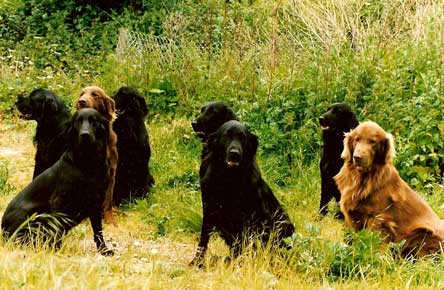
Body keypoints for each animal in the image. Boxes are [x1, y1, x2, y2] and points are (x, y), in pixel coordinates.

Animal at [0, 109, 114, 256]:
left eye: (94, 121)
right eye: (77, 121)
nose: (85, 135)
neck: (87, 165)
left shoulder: (96, 201)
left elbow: (98, 231)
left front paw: (104, 250)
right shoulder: (59, 201)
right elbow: (57, 227)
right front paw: (56, 250)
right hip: (33, 214)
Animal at [76, 85, 119, 223]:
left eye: (95, 95)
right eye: (81, 94)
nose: (81, 101)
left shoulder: (111, 173)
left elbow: (108, 200)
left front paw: (109, 220)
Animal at [191, 120, 294, 268]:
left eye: (242, 138)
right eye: (226, 135)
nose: (234, 153)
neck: (229, 179)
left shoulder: (250, 216)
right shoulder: (209, 207)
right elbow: (203, 239)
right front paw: (197, 261)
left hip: (284, 224)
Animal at [334, 120, 444, 258]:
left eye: (372, 141)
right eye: (357, 139)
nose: (357, 157)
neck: (363, 179)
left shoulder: (378, 218)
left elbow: (371, 241)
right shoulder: (351, 216)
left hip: (421, 232)